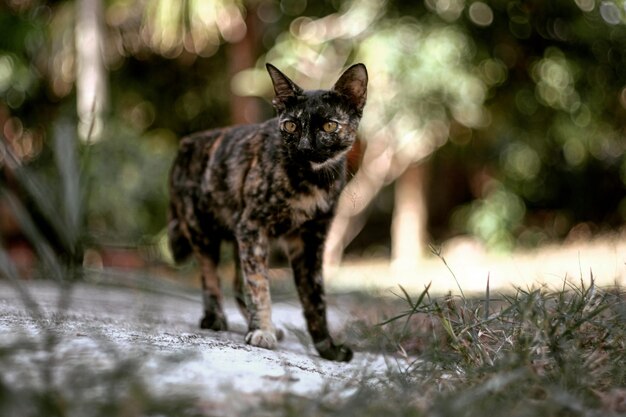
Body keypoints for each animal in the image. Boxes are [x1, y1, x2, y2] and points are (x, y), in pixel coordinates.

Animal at [168, 61, 368, 360]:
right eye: (291, 125)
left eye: (329, 125)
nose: (304, 147)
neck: (311, 182)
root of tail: (186, 144)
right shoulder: (253, 226)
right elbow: (259, 285)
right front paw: (261, 331)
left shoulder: (312, 239)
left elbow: (315, 298)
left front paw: (327, 348)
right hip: (203, 231)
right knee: (210, 275)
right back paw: (216, 318)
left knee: (239, 282)